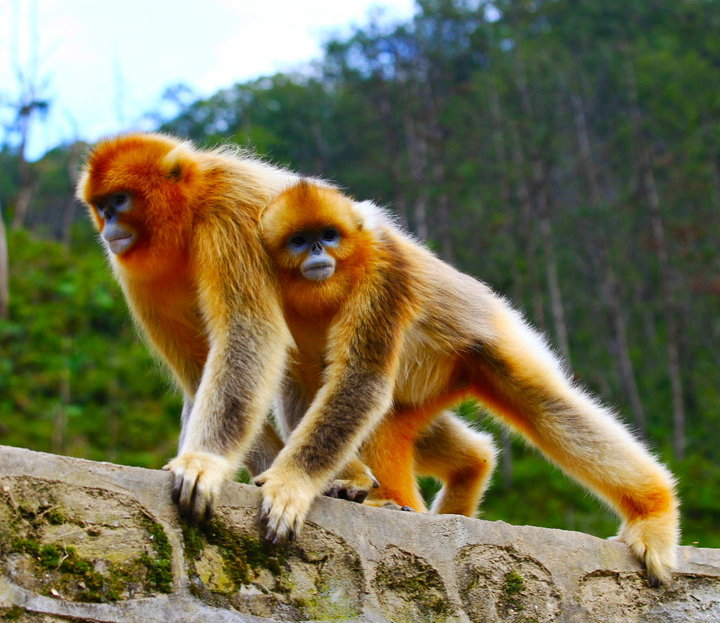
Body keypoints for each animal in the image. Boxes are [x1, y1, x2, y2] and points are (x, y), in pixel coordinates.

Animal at [258, 179, 680, 584]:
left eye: (329, 235)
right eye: (299, 240)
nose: (316, 251)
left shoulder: (385, 270)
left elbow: (362, 380)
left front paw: (292, 484)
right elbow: (304, 383)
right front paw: (336, 480)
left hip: (490, 341)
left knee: (545, 407)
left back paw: (653, 514)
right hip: (430, 384)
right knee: (392, 424)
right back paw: (423, 490)